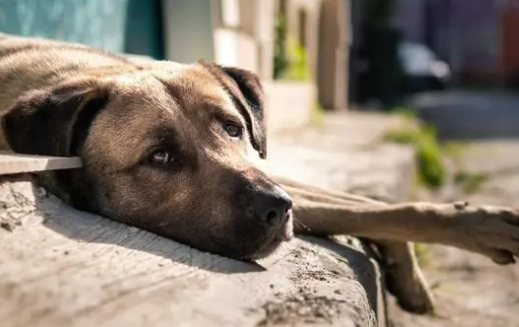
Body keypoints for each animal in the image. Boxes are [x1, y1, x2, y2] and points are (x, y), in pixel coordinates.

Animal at [0, 32, 516, 316]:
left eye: (234, 127)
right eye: (160, 157)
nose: (277, 208)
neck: (77, 72)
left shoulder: (269, 171)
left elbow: (371, 205)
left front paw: (466, 232)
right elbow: (366, 208)